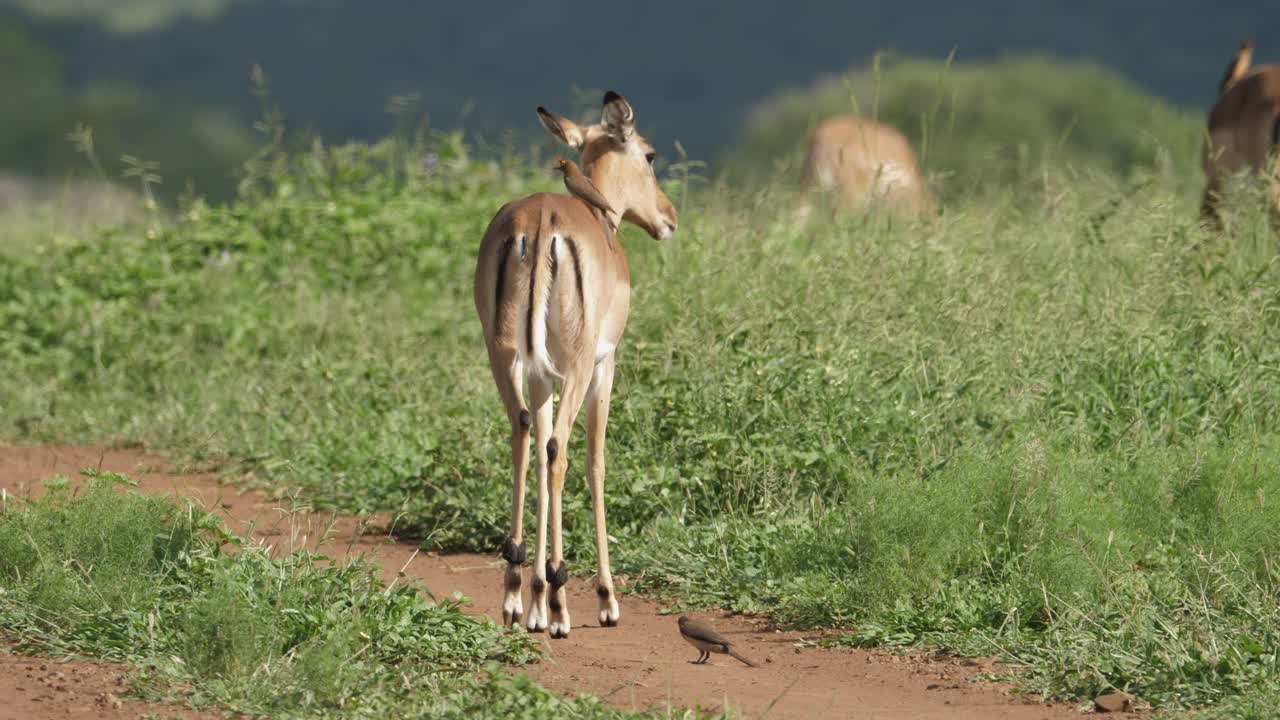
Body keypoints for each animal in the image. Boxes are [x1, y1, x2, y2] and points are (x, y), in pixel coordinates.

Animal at [473, 91, 678, 638]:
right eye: (649, 154)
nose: (669, 217)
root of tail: (542, 222)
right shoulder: (605, 365)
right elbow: (596, 462)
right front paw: (602, 599)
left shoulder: (542, 373)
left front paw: (535, 600)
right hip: (580, 363)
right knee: (560, 449)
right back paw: (564, 603)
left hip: (504, 357)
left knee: (525, 434)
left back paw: (515, 593)